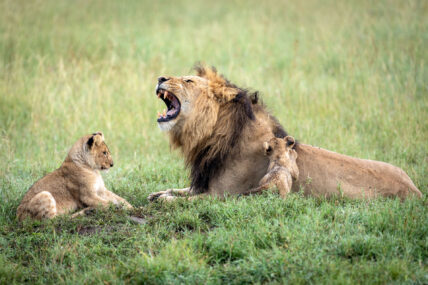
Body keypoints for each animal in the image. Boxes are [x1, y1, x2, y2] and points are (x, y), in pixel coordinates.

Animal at [148, 65, 422, 201]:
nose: (160, 77)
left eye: (188, 81)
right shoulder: (203, 184)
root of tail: (415, 190)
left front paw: (165, 199)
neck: (210, 135)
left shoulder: (221, 194)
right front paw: (159, 193)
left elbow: (184, 201)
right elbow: (179, 190)